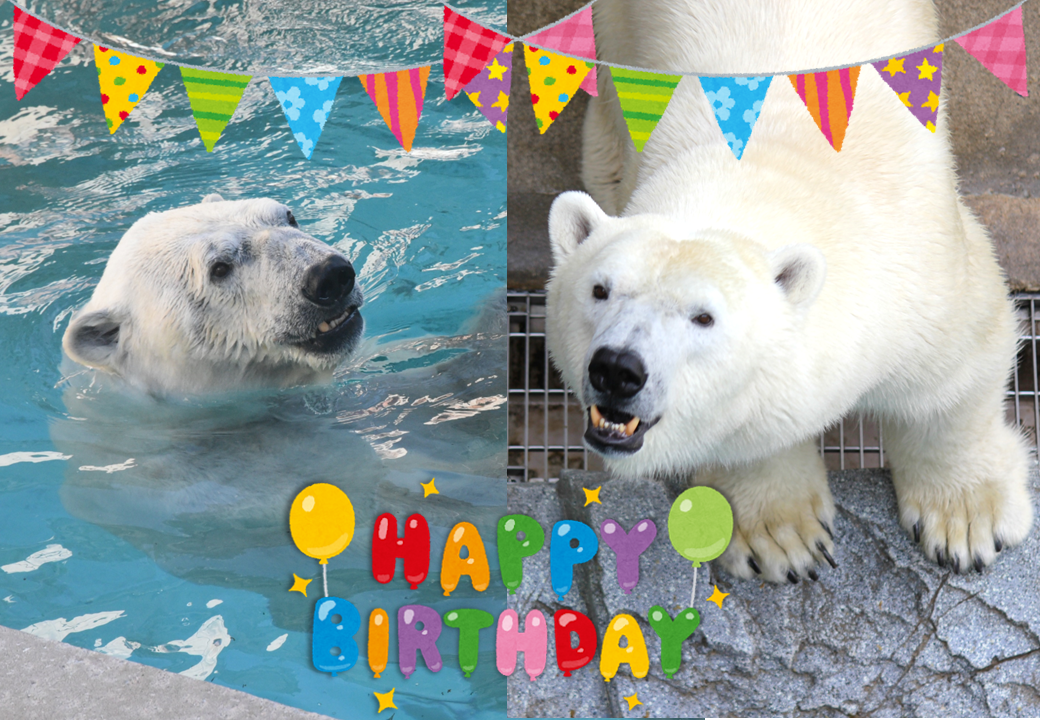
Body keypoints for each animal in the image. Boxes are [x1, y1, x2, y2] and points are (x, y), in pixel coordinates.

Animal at [549, 0, 1035, 582]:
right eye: (600, 290)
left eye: (704, 317)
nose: (618, 370)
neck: (749, 169)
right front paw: (785, 538)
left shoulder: (923, 274)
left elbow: (954, 379)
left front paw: (967, 522)